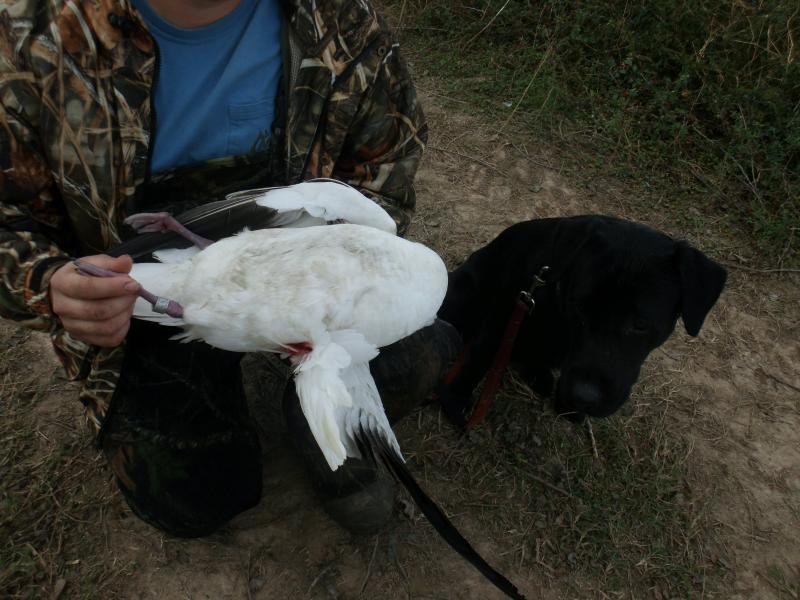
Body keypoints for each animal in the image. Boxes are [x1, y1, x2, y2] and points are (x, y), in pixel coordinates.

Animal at [436, 215, 727, 425]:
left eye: (640, 323)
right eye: (580, 307)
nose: (584, 397)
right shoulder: (505, 310)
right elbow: (481, 355)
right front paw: (456, 398)